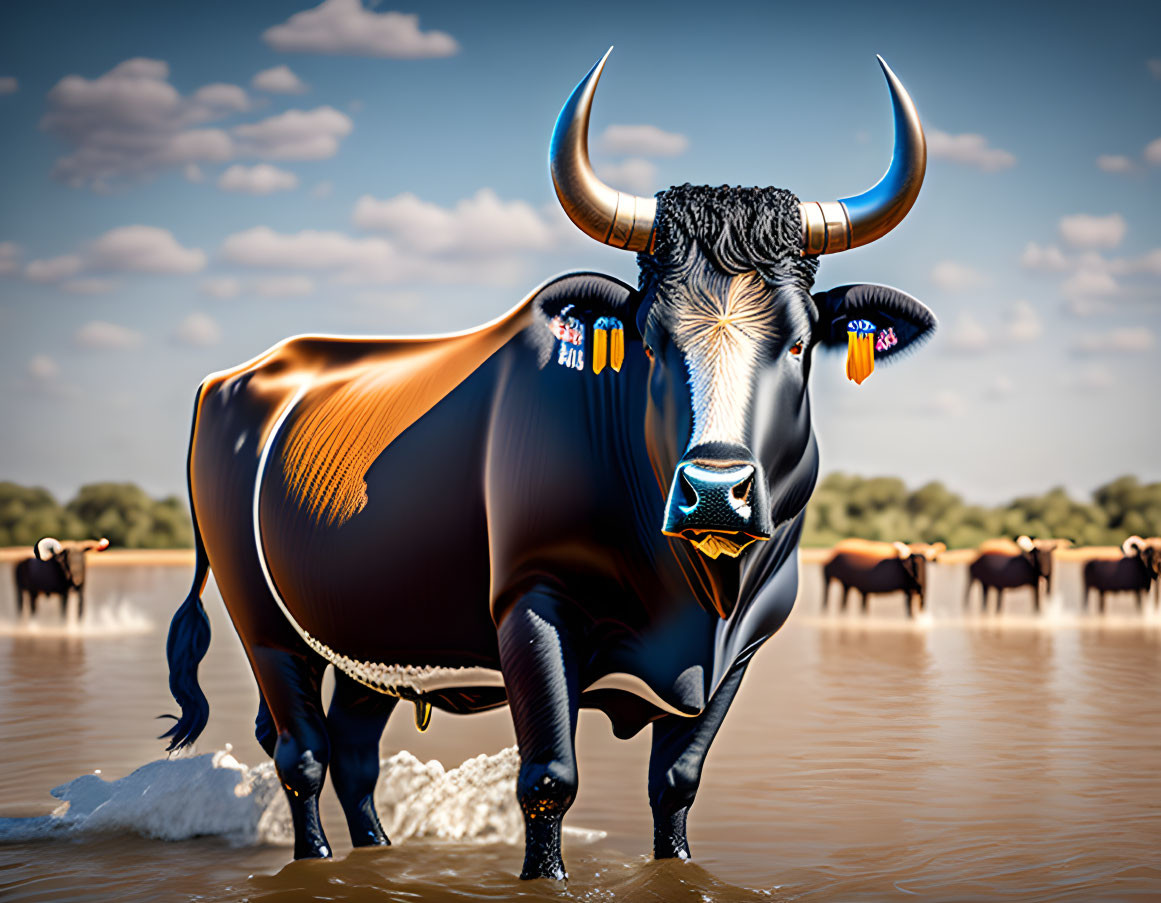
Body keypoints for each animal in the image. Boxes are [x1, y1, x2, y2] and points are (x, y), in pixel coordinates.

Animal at [161, 51, 933, 877]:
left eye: (795, 342)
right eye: (651, 340)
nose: (714, 494)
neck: (694, 598)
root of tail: (241, 374)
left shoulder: (745, 641)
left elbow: (676, 784)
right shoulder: (529, 606)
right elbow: (547, 780)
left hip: (371, 632)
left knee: (353, 754)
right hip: (264, 626)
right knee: (301, 752)